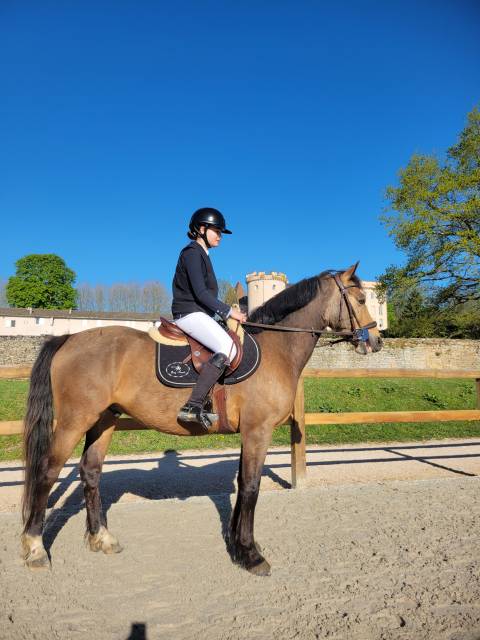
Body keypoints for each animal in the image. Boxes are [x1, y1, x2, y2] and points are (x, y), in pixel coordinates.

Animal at [21, 263, 383, 575]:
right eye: (361, 300)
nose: (376, 341)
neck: (274, 348)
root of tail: (67, 338)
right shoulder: (258, 430)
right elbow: (251, 486)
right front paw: (251, 554)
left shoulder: (248, 432)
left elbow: (242, 483)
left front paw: (237, 546)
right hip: (74, 421)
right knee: (48, 472)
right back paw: (35, 548)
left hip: (102, 422)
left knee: (91, 472)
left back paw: (101, 538)